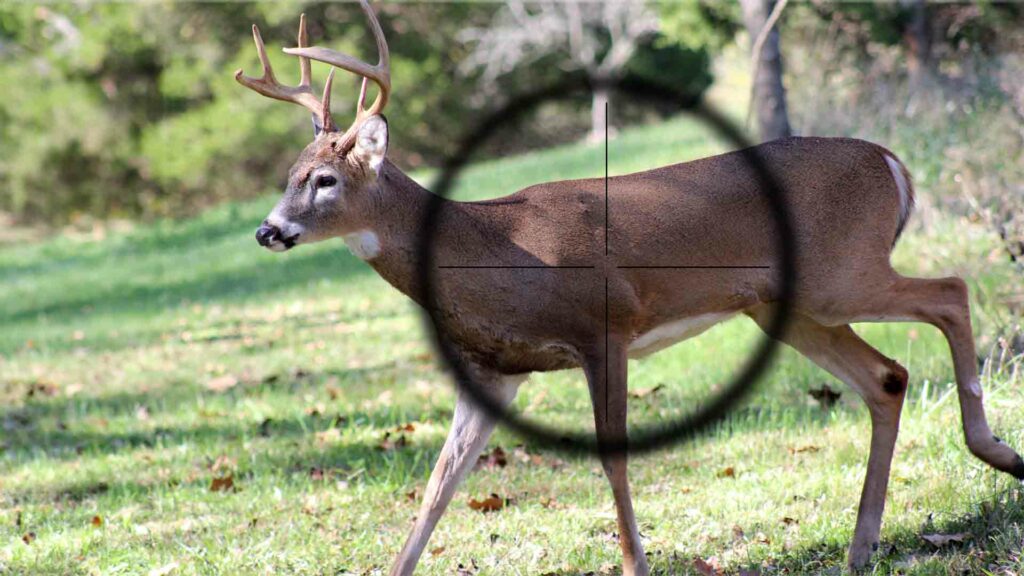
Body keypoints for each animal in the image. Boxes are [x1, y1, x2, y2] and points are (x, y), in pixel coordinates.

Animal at [237, 2, 1024, 574]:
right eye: (288, 174)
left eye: (324, 179)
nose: (268, 230)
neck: (487, 250)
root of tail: (892, 161)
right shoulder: (496, 368)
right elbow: (437, 487)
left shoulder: (604, 327)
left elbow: (613, 464)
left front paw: (634, 563)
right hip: (786, 306)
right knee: (887, 378)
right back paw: (863, 546)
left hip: (840, 274)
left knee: (951, 291)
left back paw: (994, 451)